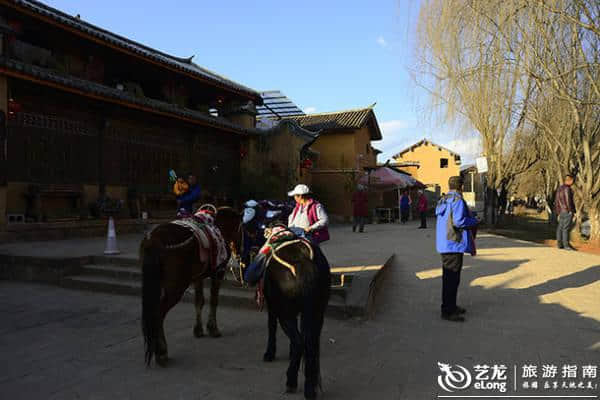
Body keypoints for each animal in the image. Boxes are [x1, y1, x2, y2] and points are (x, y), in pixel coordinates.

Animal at [141, 206, 241, 366]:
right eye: (242, 229)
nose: (239, 251)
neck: (219, 228)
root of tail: (154, 240)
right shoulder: (217, 273)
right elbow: (214, 300)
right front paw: (213, 328)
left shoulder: (197, 277)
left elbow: (199, 301)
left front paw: (198, 330)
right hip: (176, 287)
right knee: (158, 313)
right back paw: (161, 352)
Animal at [260, 236, 330, 398]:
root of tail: (303, 258)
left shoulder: (272, 307)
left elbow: (271, 327)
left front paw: (269, 353)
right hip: (318, 312)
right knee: (310, 344)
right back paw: (310, 388)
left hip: (285, 314)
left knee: (299, 342)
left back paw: (291, 381)